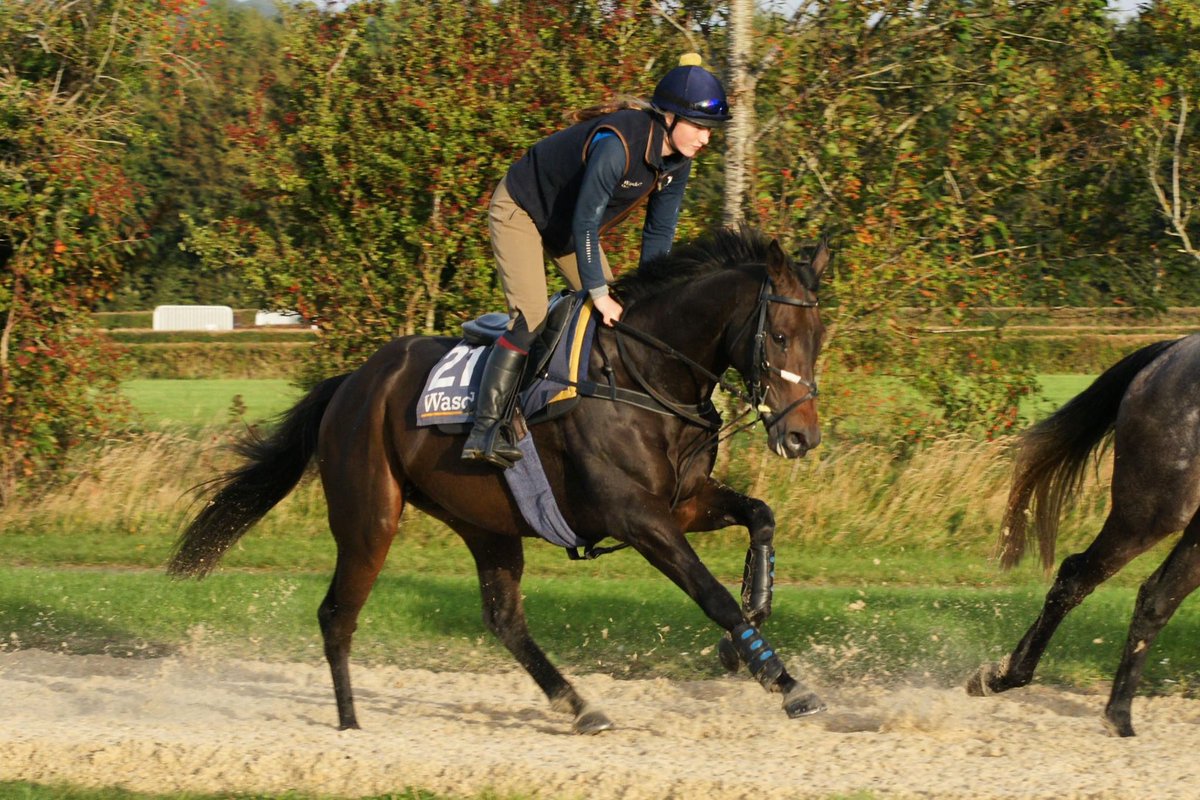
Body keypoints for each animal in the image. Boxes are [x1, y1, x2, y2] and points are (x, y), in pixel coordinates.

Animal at [169, 225, 830, 734]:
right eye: (778, 336)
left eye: (818, 338)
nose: (802, 436)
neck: (643, 376)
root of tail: (352, 382)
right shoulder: (637, 517)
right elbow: (711, 593)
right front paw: (785, 681)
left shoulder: (684, 503)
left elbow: (761, 518)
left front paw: (743, 637)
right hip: (370, 516)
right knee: (337, 614)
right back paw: (351, 727)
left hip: (485, 522)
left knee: (504, 620)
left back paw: (580, 706)